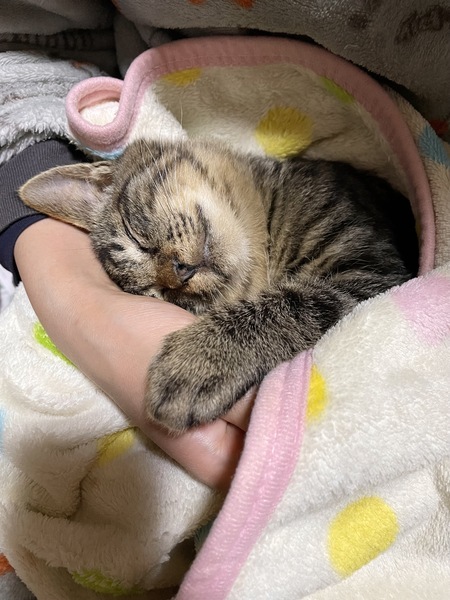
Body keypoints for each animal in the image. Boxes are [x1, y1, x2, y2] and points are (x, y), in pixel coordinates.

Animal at [19, 138, 418, 432]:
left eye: (136, 237)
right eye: (163, 297)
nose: (179, 273)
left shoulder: (367, 271)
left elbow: (292, 306)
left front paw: (197, 362)